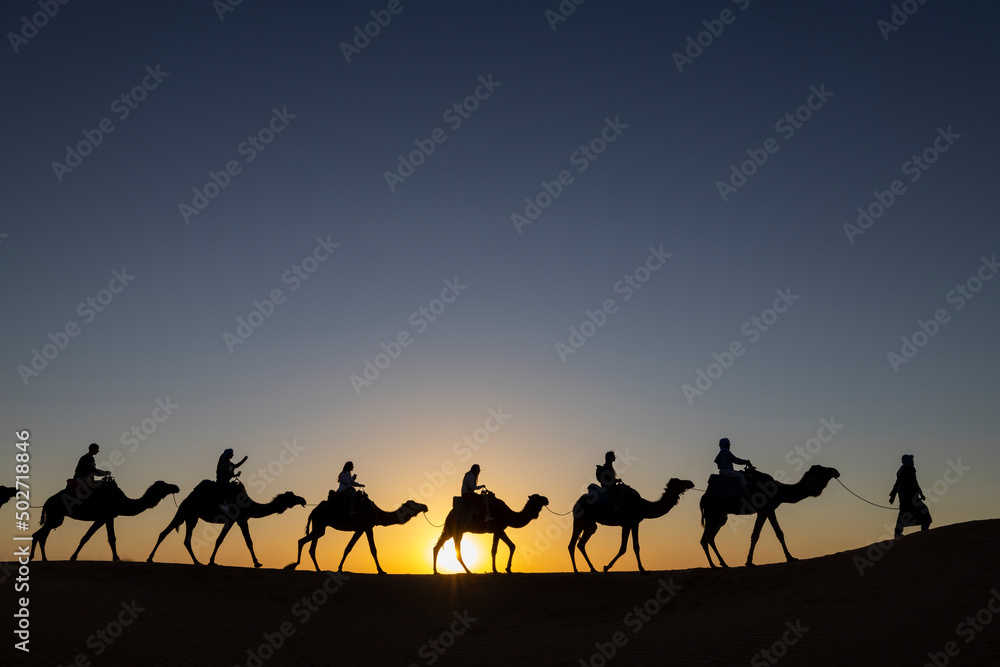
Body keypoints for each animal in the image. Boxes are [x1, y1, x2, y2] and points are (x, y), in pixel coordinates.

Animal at [31, 478, 179, 560]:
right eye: (163, 485)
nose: (176, 487)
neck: (121, 501)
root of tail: (47, 502)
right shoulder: (104, 517)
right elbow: (95, 537)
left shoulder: (107, 518)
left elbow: (106, 538)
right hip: (55, 516)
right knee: (39, 534)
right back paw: (37, 558)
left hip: (56, 518)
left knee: (41, 535)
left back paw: (44, 559)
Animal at [146, 480, 304, 568]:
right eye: (291, 496)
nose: (303, 500)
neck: (250, 505)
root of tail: (187, 498)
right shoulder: (232, 520)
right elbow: (220, 540)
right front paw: (211, 561)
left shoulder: (242, 520)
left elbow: (249, 542)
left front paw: (257, 563)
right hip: (185, 512)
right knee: (165, 533)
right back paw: (150, 558)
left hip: (192, 517)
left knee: (184, 539)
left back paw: (197, 562)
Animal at [286, 490, 426, 576]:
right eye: (414, 503)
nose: (425, 506)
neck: (377, 512)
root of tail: (313, 511)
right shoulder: (365, 527)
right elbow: (367, 549)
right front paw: (381, 570)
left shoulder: (362, 529)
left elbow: (352, 548)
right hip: (319, 524)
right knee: (311, 547)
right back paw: (316, 569)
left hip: (320, 528)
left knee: (303, 541)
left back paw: (298, 565)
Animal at [700, 464, 840, 568]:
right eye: (822, 469)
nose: (836, 471)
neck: (779, 490)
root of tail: (703, 498)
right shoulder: (763, 510)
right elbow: (755, 535)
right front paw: (749, 562)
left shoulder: (770, 509)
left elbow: (779, 533)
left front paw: (791, 557)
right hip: (712, 514)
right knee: (706, 538)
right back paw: (714, 565)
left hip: (720, 517)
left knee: (709, 537)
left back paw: (722, 564)